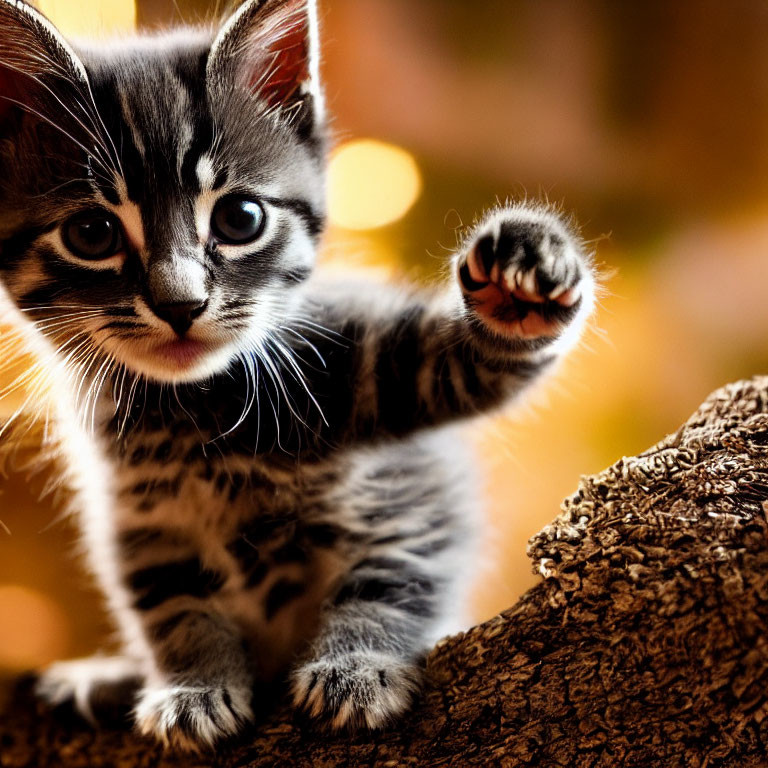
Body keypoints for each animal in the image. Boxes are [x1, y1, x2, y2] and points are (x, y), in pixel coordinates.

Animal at [0, 0, 596, 752]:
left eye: (240, 218)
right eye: (91, 234)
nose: (179, 304)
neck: (201, 410)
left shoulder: (388, 423)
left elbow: (393, 574)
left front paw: (358, 663)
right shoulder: (140, 516)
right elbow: (172, 606)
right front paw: (193, 683)